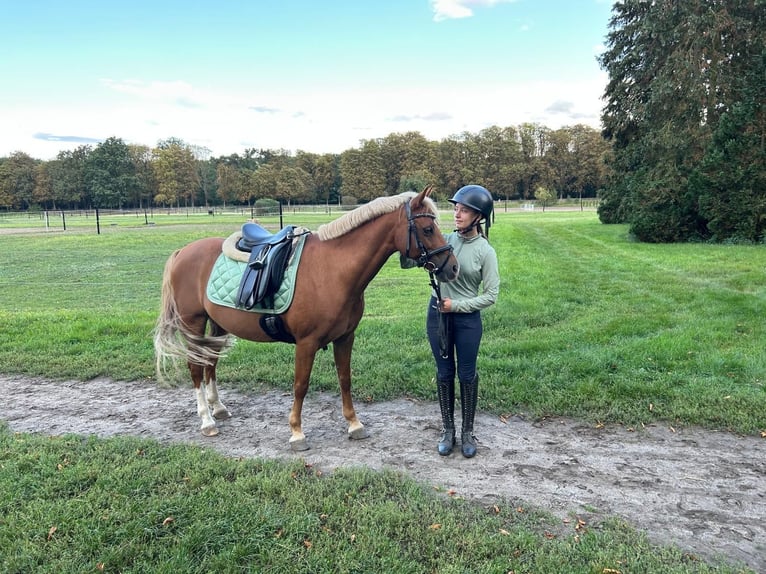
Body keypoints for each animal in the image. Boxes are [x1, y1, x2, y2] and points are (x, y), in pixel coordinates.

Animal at [153, 186, 460, 451]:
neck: (333, 269)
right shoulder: (306, 343)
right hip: (193, 322)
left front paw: (354, 424)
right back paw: (207, 420)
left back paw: (218, 408)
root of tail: (182, 252)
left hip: (217, 324)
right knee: (195, 368)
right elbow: (300, 386)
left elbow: (345, 379)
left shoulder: (345, 338)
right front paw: (297, 433)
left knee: (210, 363)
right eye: (428, 229)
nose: (453, 268)